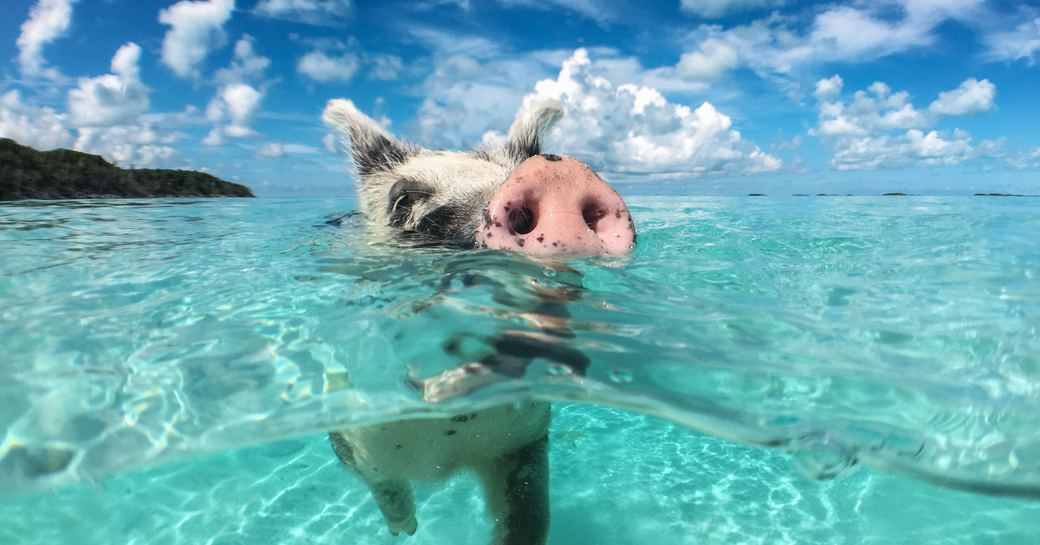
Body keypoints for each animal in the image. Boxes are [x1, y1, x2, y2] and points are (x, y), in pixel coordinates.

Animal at [322, 97, 632, 545]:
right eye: (401, 201)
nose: (557, 174)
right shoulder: (350, 433)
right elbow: (383, 483)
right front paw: (405, 529)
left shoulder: (525, 440)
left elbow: (529, 516)